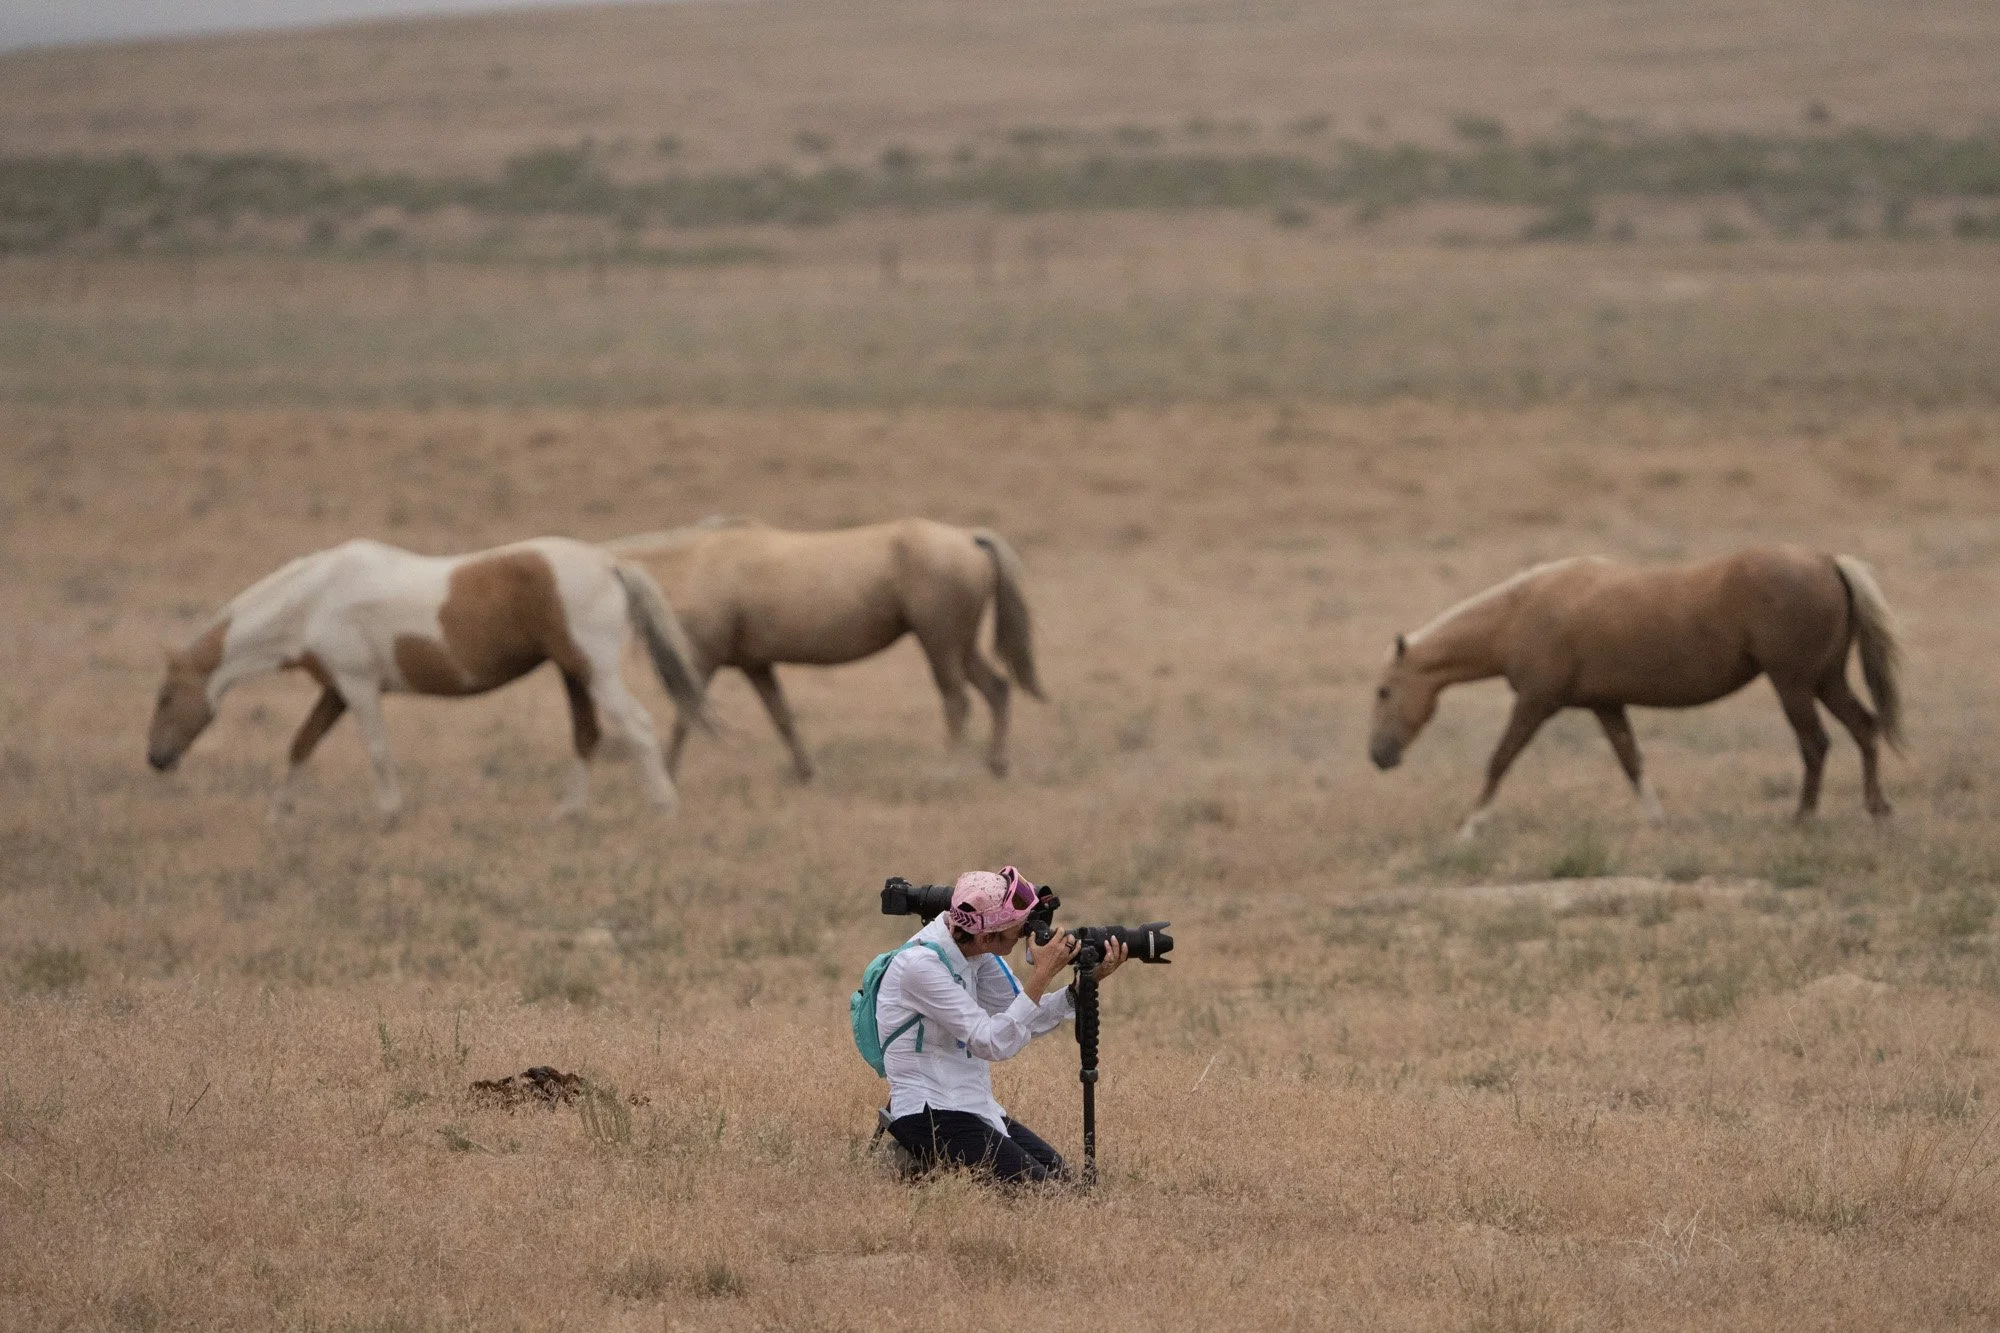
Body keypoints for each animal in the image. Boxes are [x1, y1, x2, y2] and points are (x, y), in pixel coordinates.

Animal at [147, 537, 710, 819]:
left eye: (167, 696)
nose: (156, 759)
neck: (314, 598)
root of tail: (609, 562)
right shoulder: (334, 690)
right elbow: (301, 744)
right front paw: (280, 813)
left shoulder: (358, 686)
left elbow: (376, 749)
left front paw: (390, 814)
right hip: (574, 673)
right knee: (587, 734)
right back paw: (569, 812)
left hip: (596, 671)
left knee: (637, 727)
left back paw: (663, 808)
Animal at [607, 518, 1043, 780]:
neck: (698, 563)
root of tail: (969, 537)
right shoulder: (756, 665)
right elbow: (782, 717)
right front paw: (806, 772)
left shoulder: (704, 659)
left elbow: (685, 715)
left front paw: (665, 773)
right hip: (961, 646)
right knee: (997, 689)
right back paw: (996, 765)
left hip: (940, 644)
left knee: (957, 701)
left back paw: (946, 767)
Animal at [1368, 546, 1903, 838]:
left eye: (1383, 691)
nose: (1379, 756)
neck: (1523, 611)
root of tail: (1827, 562)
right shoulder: (1606, 706)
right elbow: (1632, 762)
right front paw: (1658, 823)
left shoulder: (1536, 703)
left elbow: (1500, 759)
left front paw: (1468, 828)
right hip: (1826, 680)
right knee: (1864, 728)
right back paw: (1878, 815)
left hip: (1793, 684)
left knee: (1816, 744)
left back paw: (1802, 820)